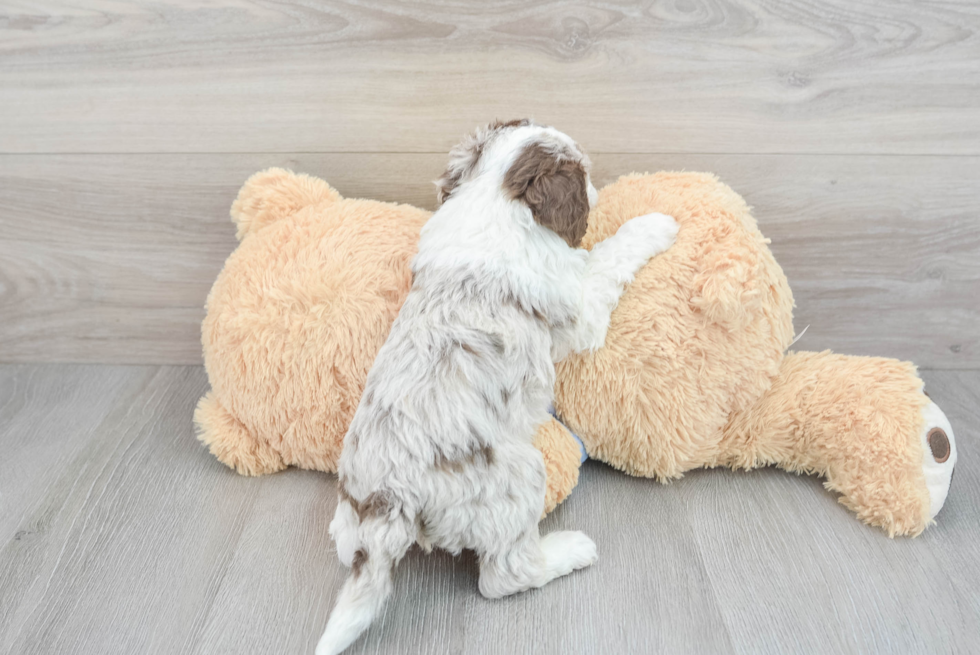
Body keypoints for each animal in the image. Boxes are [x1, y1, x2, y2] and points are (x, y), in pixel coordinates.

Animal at [318, 119, 676, 655]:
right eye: (583, 173)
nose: (597, 189)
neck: (495, 195)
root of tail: (389, 504)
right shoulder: (580, 310)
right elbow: (608, 256)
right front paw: (655, 223)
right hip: (519, 475)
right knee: (504, 576)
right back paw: (568, 550)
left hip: (347, 524)